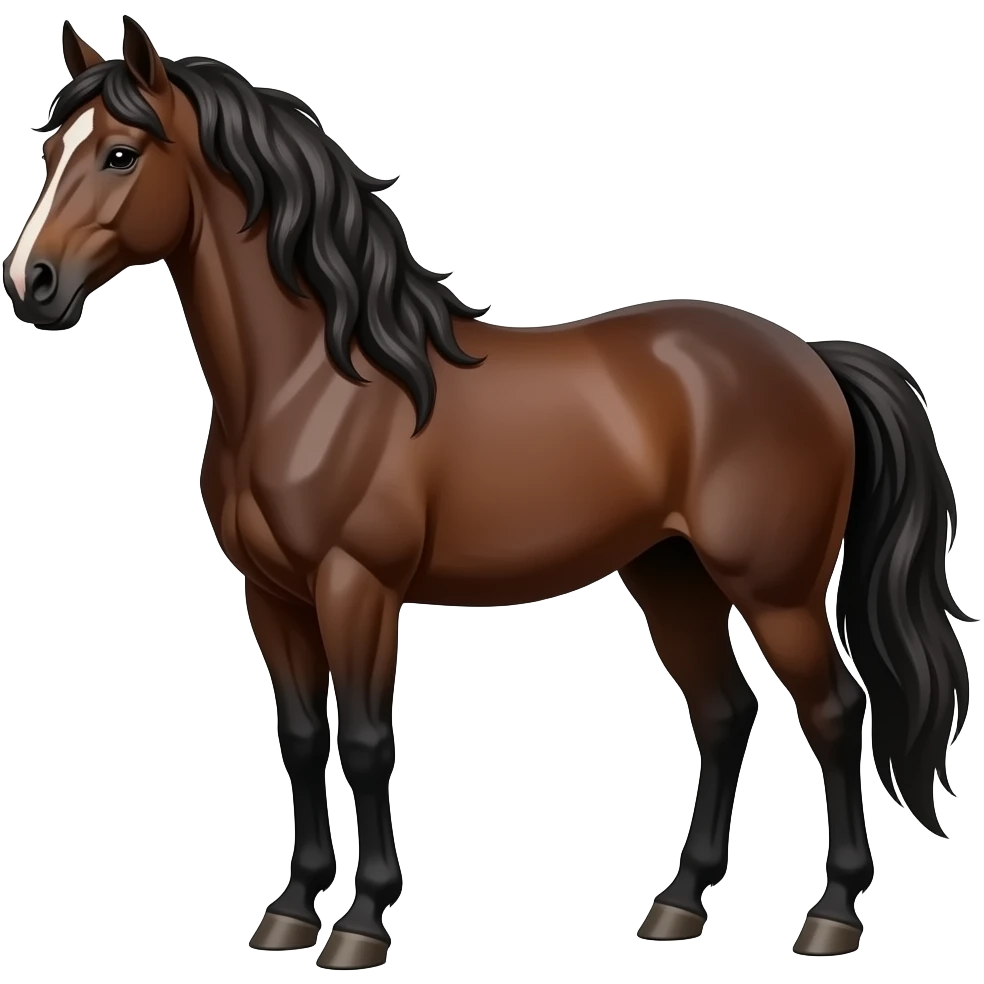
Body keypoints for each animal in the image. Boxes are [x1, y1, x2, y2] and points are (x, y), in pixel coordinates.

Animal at [3, 16, 975, 969]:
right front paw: (288, 912)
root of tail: (810, 356)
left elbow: (365, 742)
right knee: (725, 714)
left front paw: (360, 924)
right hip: (672, 576)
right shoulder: (271, 595)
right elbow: (302, 740)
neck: (316, 381)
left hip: (776, 590)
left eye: (121, 153)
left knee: (834, 713)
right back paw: (677, 905)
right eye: (50, 152)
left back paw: (832, 916)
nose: (30, 284)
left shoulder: (358, 586)